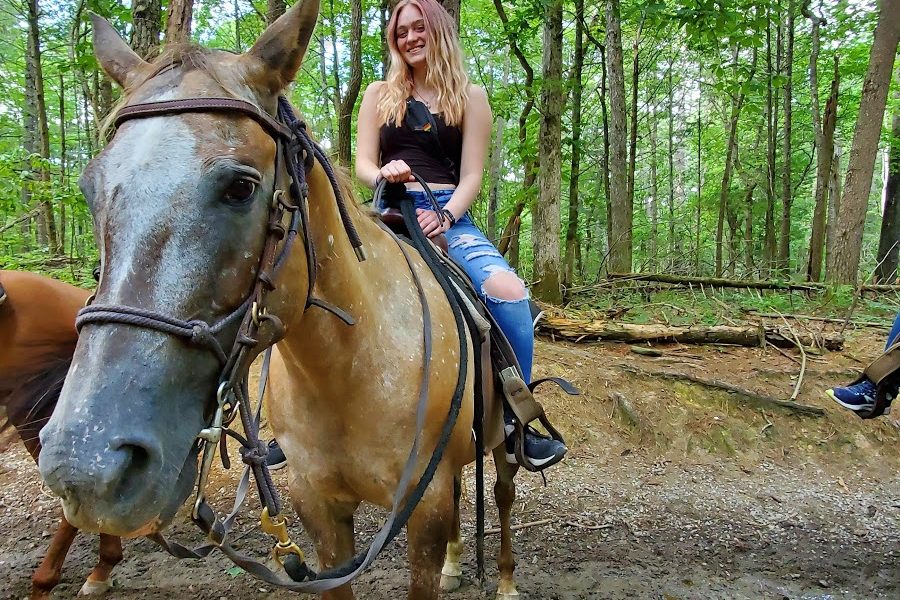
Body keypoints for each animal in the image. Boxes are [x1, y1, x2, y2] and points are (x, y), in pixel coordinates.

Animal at [37, 1, 520, 600]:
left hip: (501, 440)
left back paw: (505, 578)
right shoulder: (320, 514)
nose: (85, 463)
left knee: (502, 494)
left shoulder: (421, 509)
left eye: (241, 187)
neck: (350, 371)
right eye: (90, 188)